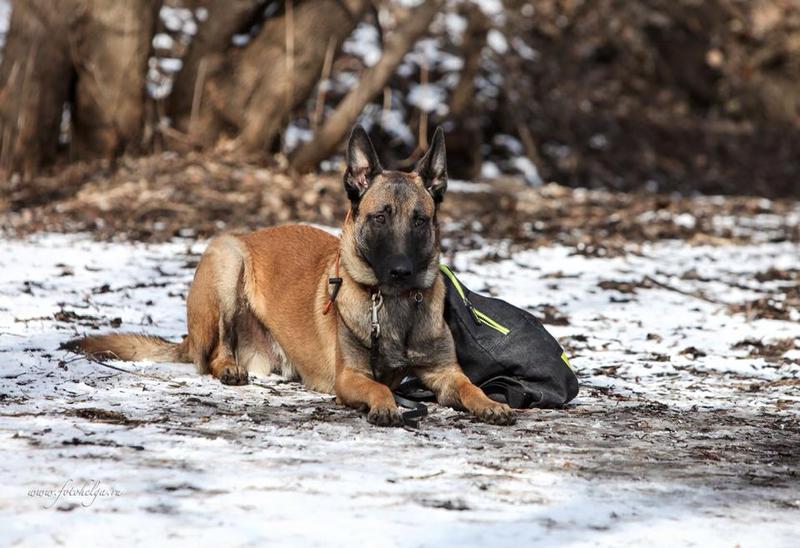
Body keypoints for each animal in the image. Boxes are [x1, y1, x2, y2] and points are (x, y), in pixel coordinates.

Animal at [72, 126, 516, 426]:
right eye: (380, 218)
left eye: (420, 221)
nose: (401, 271)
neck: (392, 306)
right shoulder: (349, 377)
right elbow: (377, 385)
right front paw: (386, 404)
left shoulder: (444, 373)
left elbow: (468, 386)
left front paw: (490, 402)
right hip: (228, 259)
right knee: (211, 355)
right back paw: (228, 367)